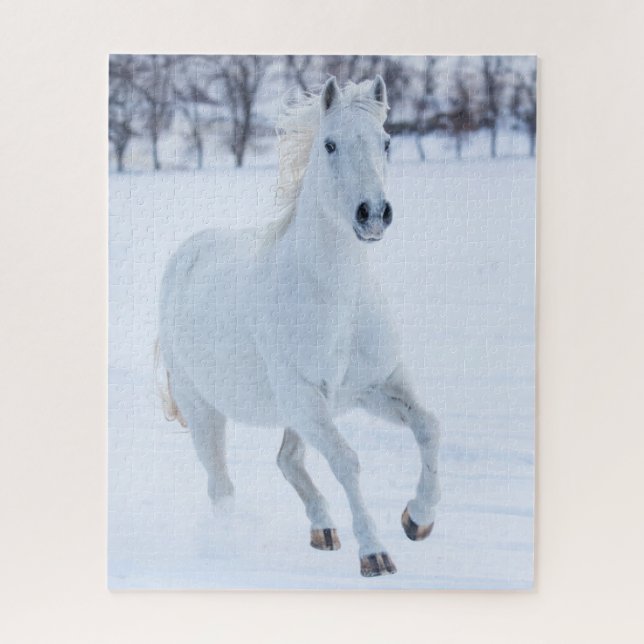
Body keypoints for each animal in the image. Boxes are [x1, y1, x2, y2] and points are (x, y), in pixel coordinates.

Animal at [157, 75, 441, 578]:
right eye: (329, 144)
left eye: (386, 141)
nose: (373, 213)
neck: (336, 299)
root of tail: (187, 254)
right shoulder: (309, 397)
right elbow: (346, 461)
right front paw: (375, 554)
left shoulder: (371, 387)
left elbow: (428, 427)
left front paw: (417, 519)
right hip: (206, 409)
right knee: (221, 488)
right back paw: (231, 546)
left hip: (293, 411)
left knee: (287, 460)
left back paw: (323, 529)